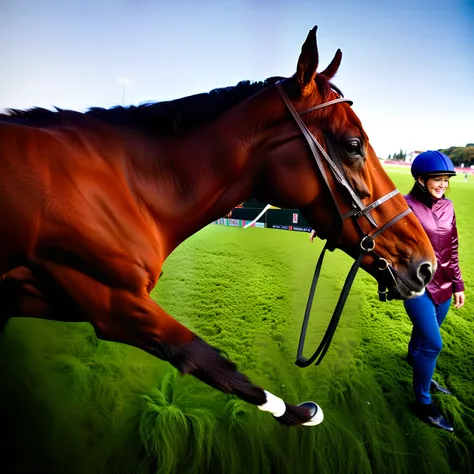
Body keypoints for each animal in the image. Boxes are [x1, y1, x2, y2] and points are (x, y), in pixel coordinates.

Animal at [0, 26, 436, 426]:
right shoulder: (114, 300)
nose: (425, 265)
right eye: (352, 145)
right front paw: (302, 412)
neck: (122, 184)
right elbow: (211, 364)